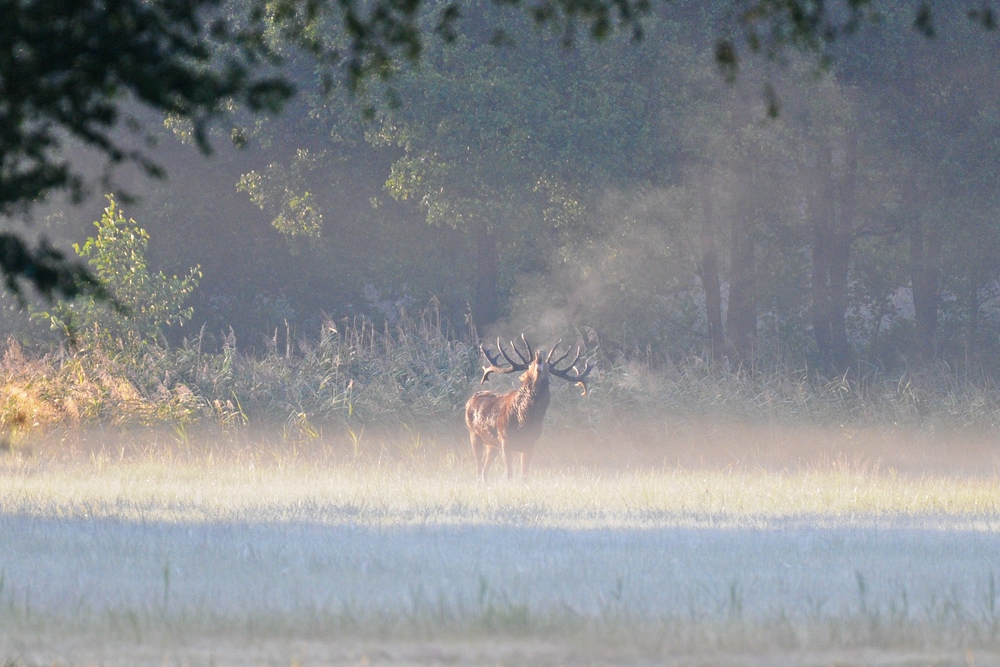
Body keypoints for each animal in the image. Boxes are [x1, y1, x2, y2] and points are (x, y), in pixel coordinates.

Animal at [465, 335, 592, 481]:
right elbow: (509, 474)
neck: (525, 421)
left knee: (485, 466)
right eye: (529, 366)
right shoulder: (505, 441)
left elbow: (525, 474)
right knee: (479, 466)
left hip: (491, 444)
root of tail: (469, 400)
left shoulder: (530, 444)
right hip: (474, 434)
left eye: (548, 369)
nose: (539, 354)